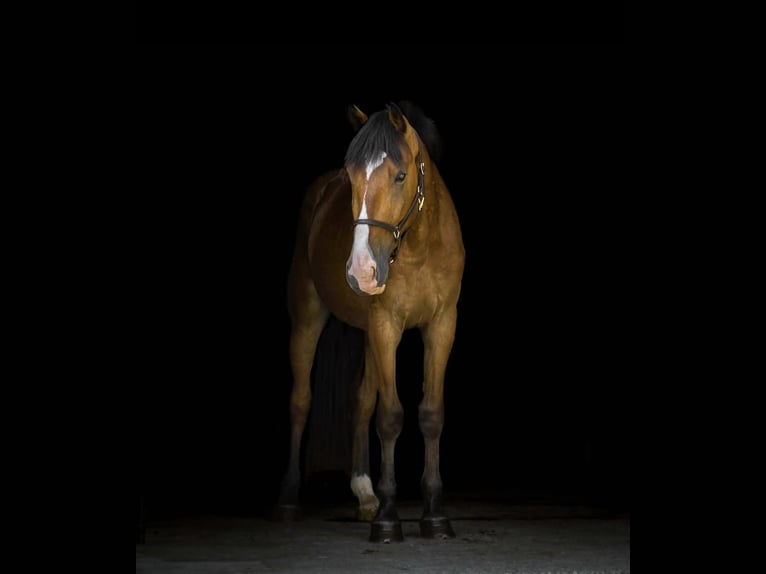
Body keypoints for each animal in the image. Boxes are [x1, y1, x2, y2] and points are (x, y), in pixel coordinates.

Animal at [275, 101, 465, 542]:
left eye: (400, 175)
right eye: (352, 178)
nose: (361, 270)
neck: (419, 247)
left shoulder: (441, 327)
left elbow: (430, 414)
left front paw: (434, 515)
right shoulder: (385, 326)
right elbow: (390, 417)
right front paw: (390, 519)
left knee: (360, 399)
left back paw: (364, 493)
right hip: (308, 319)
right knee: (300, 401)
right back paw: (290, 499)